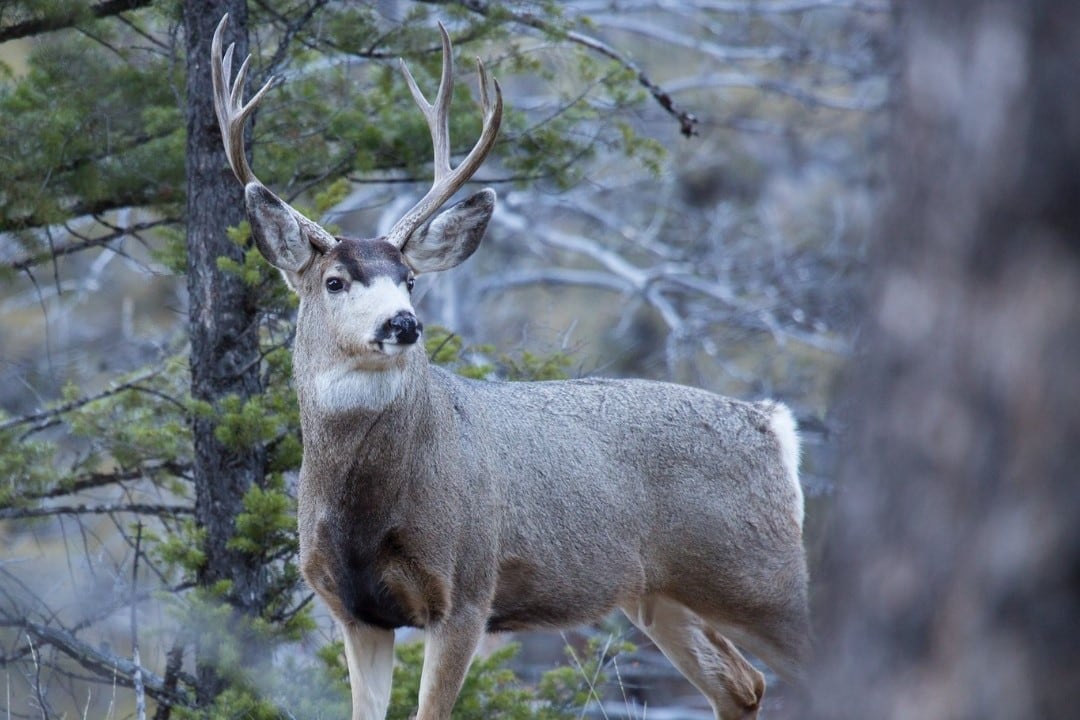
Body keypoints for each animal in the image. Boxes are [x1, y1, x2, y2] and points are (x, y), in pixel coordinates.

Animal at [211, 14, 810, 720]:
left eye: (409, 279)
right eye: (334, 281)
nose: (403, 324)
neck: (367, 505)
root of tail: (773, 427)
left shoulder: (468, 588)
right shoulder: (354, 610)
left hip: (761, 574)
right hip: (661, 594)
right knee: (743, 683)